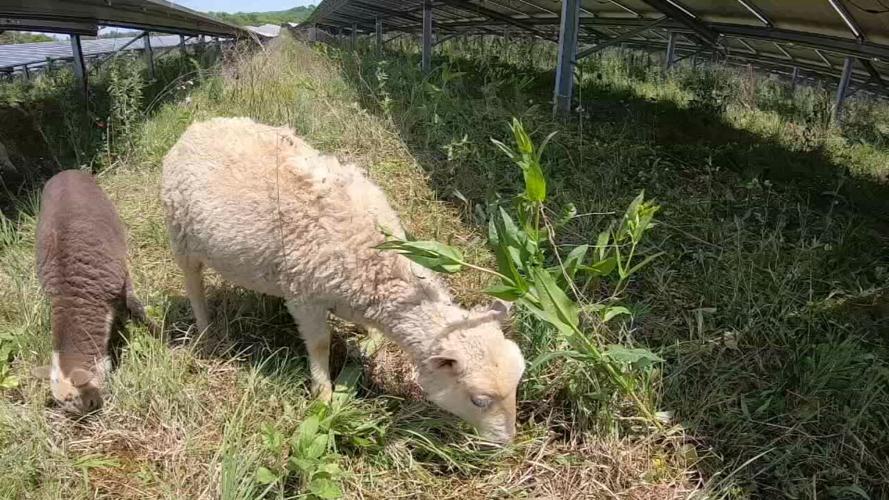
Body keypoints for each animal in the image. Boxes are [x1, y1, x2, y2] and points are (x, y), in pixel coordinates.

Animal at [34, 170, 155, 415]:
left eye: (86, 399)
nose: (90, 413)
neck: (72, 294)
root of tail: (65, 172)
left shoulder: (121, 278)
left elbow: (136, 306)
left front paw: (157, 331)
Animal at [161, 117, 526, 442]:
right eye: (479, 400)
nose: (508, 442)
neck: (379, 266)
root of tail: (196, 126)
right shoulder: (305, 296)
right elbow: (320, 344)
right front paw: (323, 396)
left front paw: (368, 342)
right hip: (180, 235)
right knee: (193, 283)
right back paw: (206, 332)